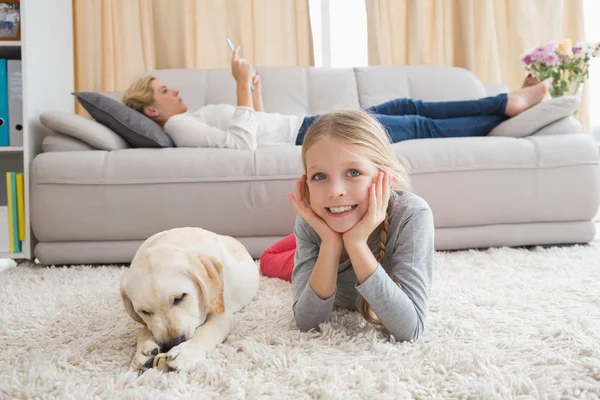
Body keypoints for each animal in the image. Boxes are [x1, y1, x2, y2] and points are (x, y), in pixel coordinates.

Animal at [119, 228, 258, 372]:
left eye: (179, 298)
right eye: (145, 312)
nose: (172, 344)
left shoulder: (223, 313)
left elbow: (207, 331)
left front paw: (186, 352)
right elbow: (143, 329)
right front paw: (144, 348)